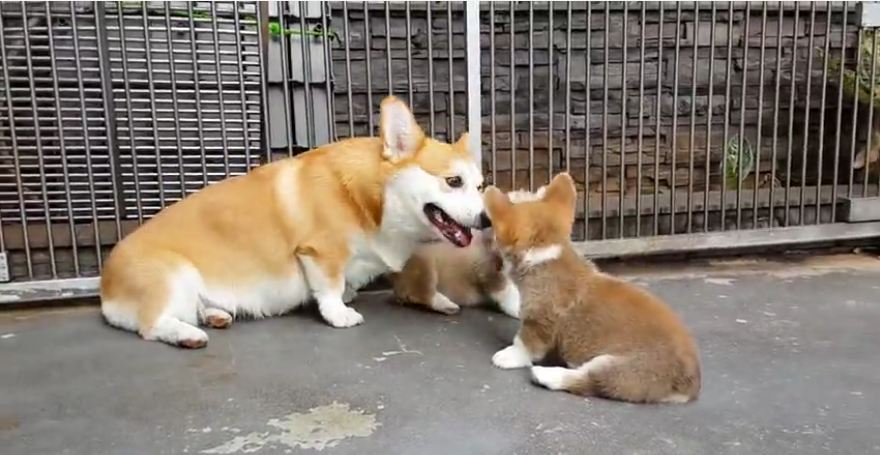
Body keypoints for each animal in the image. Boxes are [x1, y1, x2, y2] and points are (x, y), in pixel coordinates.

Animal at [102, 95, 492, 346]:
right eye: (452, 181)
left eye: (479, 186)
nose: (487, 220)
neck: (374, 199)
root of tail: (106, 288)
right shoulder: (320, 253)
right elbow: (330, 289)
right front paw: (339, 314)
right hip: (174, 276)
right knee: (152, 325)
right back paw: (189, 335)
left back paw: (215, 316)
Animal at [390, 185, 548, 318]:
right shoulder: (490, 271)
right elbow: (508, 291)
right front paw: (520, 310)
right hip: (424, 265)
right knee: (422, 291)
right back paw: (448, 305)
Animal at [482, 173, 700, 404]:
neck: (546, 255)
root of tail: (690, 383)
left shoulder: (539, 322)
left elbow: (524, 343)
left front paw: (509, 355)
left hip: (623, 369)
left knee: (590, 382)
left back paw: (548, 374)